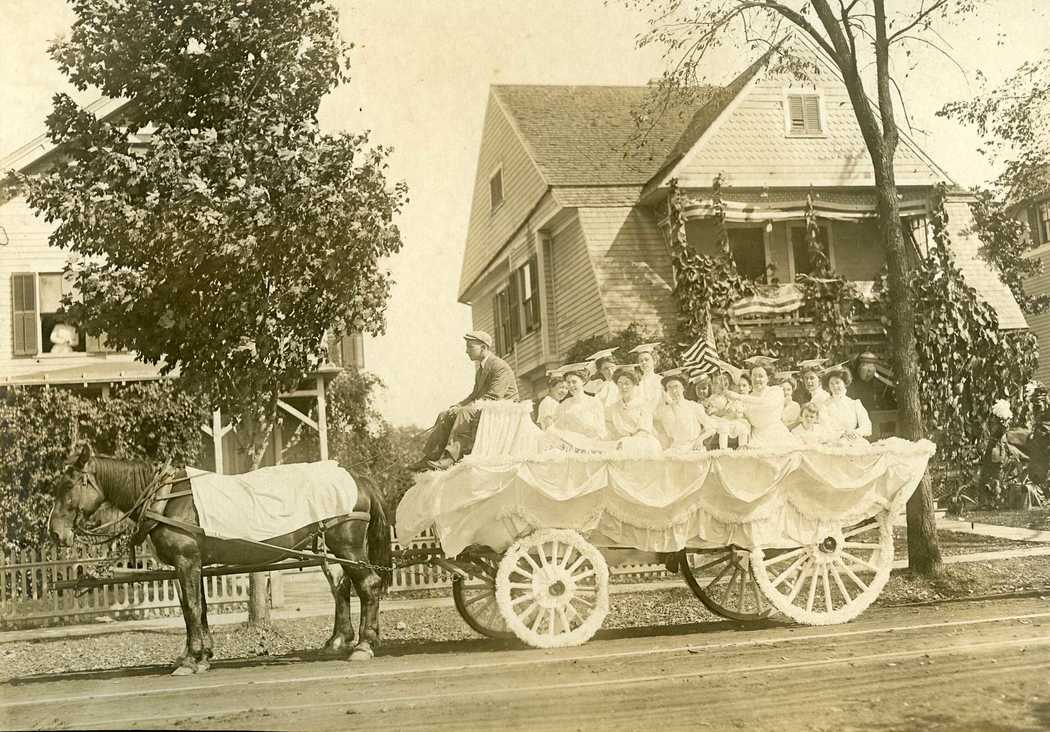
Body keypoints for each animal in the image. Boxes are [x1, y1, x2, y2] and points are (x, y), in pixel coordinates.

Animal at [50, 438, 394, 672]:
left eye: (68, 485)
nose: (55, 532)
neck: (165, 498)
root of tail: (357, 479)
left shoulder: (186, 561)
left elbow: (191, 608)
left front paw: (190, 660)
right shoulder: (192, 565)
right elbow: (197, 609)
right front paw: (201, 656)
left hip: (347, 547)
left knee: (369, 586)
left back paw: (364, 645)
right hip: (333, 552)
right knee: (343, 588)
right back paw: (340, 641)